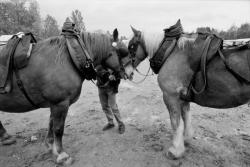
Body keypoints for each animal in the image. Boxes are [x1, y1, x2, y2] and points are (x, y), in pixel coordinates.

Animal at [0, 28, 134, 164]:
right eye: (122, 51)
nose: (131, 73)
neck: (69, 58)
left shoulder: (54, 103)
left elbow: (51, 124)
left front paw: (50, 145)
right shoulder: (60, 103)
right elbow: (58, 129)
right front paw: (62, 154)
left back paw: (5, 137)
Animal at [128, 20, 250, 159]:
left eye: (131, 46)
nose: (125, 72)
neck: (171, 52)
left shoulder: (170, 96)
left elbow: (175, 123)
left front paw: (175, 150)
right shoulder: (183, 97)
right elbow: (186, 118)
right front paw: (186, 139)